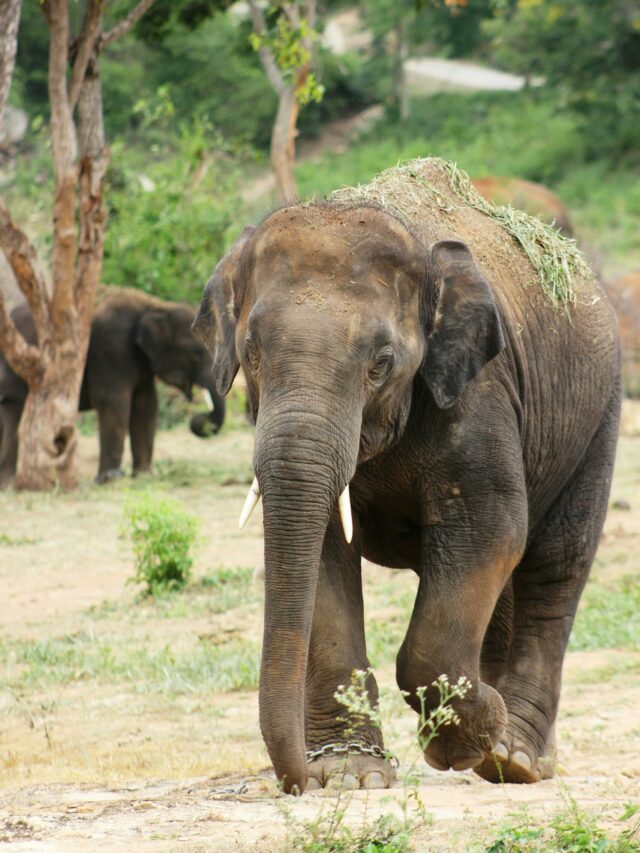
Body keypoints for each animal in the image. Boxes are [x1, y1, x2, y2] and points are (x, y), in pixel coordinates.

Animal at [0, 286, 224, 486]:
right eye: (197, 354)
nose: (199, 418)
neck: (154, 306)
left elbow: (146, 406)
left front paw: (143, 475)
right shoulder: (112, 348)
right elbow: (114, 403)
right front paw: (108, 480)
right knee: (14, 412)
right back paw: (9, 483)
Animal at [193, 159, 620, 795]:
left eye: (381, 364)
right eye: (253, 354)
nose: (297, 781)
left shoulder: (478, 394)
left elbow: (490, 530)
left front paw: (469, 735)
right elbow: (324, 551)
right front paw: (351, 776)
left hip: (599, 413)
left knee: (555, 562)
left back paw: (515, 757)